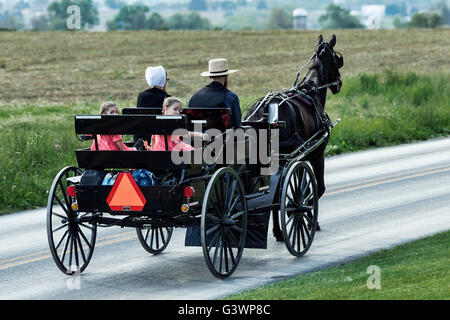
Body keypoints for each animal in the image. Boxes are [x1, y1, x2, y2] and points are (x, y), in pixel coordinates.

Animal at [243, 34, 344, 240]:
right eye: (337, 59)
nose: (339, 83)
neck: (312, 91)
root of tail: (262, 111)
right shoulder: (315, 153)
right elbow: (314, 188)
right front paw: (309, 219)